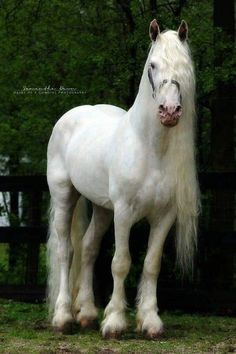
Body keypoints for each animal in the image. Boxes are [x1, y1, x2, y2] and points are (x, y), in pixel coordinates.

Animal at [47, 20, 200, 340]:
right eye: (153, 65)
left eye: (185, 67)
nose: (170, 112)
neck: (150, 150)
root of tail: (71, 116)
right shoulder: (124, 213)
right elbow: (121, 262)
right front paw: (115, 322)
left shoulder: (165, 216)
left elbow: (151, 264)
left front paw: (150, 321)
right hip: (64, 195)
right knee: (66, 250)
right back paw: (63, 317)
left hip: (102, 207)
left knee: (89, 248)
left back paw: (86, 314)